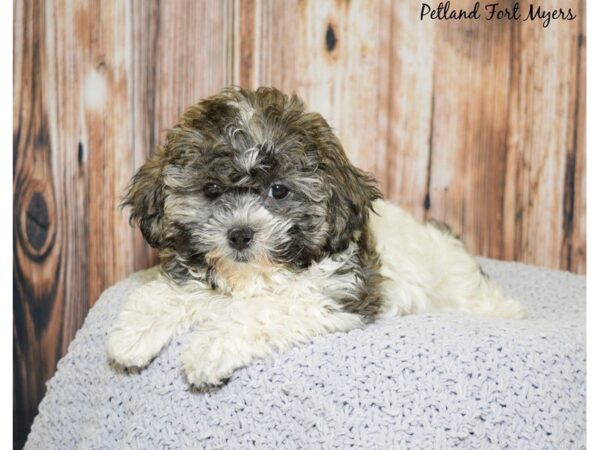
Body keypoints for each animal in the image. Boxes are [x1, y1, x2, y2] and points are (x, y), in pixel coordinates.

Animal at [108, 87, 524, 386]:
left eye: (278, 191)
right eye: (210, 189)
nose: (239, 234)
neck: (255, 275)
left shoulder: (332, 296)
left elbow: (263, 310)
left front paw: (208, 348)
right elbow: (171, 292)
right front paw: (131, 335)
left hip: (459, 285)